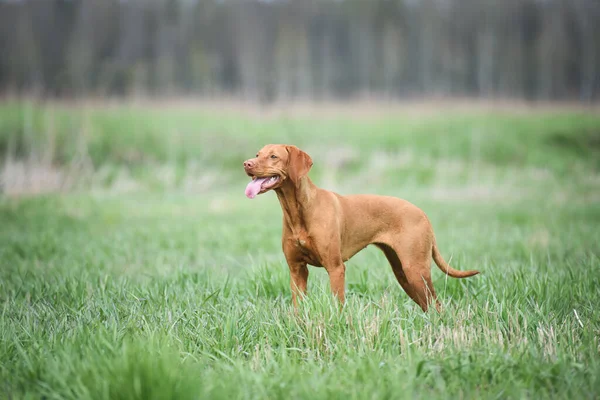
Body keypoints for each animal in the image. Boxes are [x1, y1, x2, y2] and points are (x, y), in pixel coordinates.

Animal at [241, 145, 480, 312]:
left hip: (416, 270)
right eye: (257, 154)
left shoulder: (336, 268)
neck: (299, 210)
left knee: (436, 306)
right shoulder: (297, 270)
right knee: (428, 306)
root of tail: (422, 213)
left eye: (273, 156)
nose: (247, 164)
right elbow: (298, 308)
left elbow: (338, 305)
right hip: (403, 273)